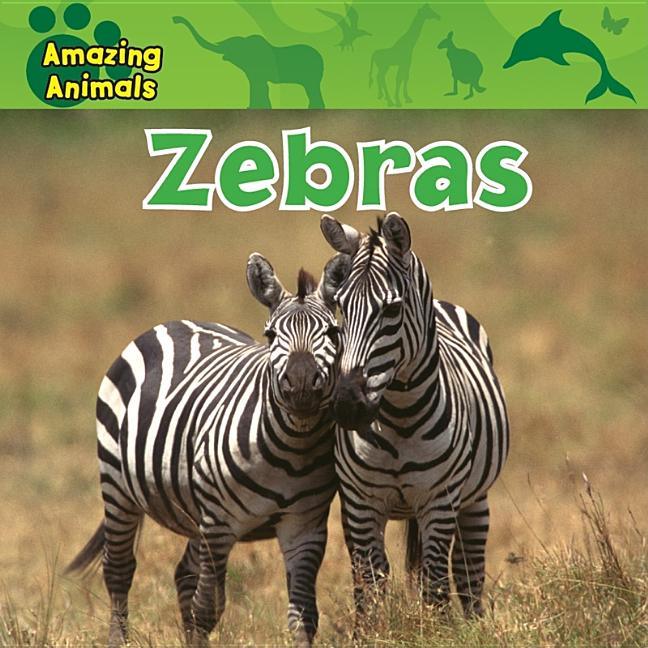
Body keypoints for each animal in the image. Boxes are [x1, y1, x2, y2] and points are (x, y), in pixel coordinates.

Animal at [65, 252, 350, 647]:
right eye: (271, 335)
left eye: (333, 332)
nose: (302, 385)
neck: (292, 450)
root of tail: (175, 322)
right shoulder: (218, 525)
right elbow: (207, 609)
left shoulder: (305, 526)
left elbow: (304, 615)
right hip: (117, 485)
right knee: (119, 571)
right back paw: (117, 637)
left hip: (191, 514)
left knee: (183, 574)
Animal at [320, 212, 509, 622]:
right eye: (340, 306)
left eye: (391, 309)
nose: (346, 405)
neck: (399, 417)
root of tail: (441, 303)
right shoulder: (359, 503)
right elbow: (369, 585)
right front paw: (371, 631)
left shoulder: (439, 502)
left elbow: (436, 586)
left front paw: (438, 630)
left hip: (474, 499)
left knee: (467, 572)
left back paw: (473, 623)